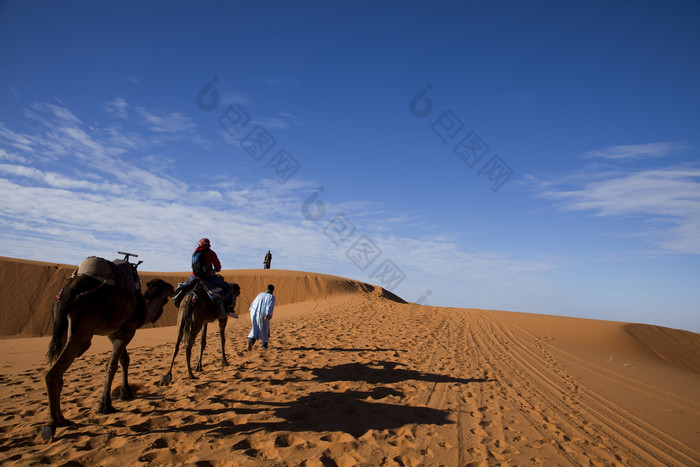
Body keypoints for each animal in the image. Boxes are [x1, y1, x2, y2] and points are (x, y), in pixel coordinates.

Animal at [42, 274, 174, 442]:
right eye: (164, 287)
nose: (173, 288)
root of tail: (67, 291)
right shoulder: (128, 330)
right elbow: (112, 365)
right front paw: (105, 405)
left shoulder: (115, 333)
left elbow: (124, 360)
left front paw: (126, 393)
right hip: (80, 332)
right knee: (53, 373)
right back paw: (52, 424)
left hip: (63, 330)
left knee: (59, 374)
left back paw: (62, 419)